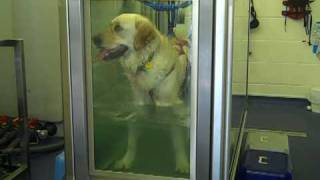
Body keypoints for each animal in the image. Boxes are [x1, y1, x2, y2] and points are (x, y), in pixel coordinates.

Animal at [93, 13, 190, 174]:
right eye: (109, 25)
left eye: (118, 28)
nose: (93, 39)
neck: (145, 62)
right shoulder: (139, 107)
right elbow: (132, 141)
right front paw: (126, 160)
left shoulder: (171, 108)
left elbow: (178, 143)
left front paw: (182, 163)